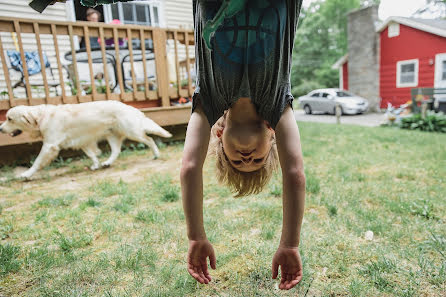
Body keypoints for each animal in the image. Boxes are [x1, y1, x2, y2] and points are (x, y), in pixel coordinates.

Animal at [0, 100, 172, 177]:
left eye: (9, 119)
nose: (0, 129)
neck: (42, 118)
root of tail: (130, 107)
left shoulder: (50, 145)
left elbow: (36, 161)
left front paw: (26, 174)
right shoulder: (81, 140)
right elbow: (91, 154)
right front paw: (95, 164)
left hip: (132, 131)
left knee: (149, 139)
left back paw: (156, 154)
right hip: (111, 134)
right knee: (116, 150)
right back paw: (107, 163)